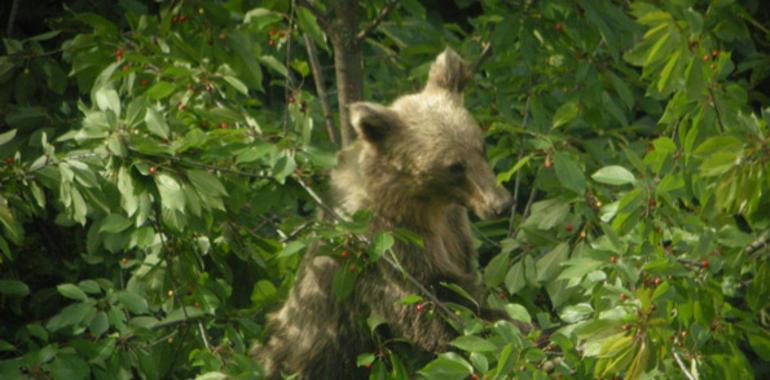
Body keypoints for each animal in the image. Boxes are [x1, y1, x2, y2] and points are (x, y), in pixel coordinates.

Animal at [255, 48, 512, 380]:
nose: (501, 204)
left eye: (481, 148)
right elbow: (435, 304)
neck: (423, 204)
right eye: (454, 166)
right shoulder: (387, 245)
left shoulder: (454, 229)